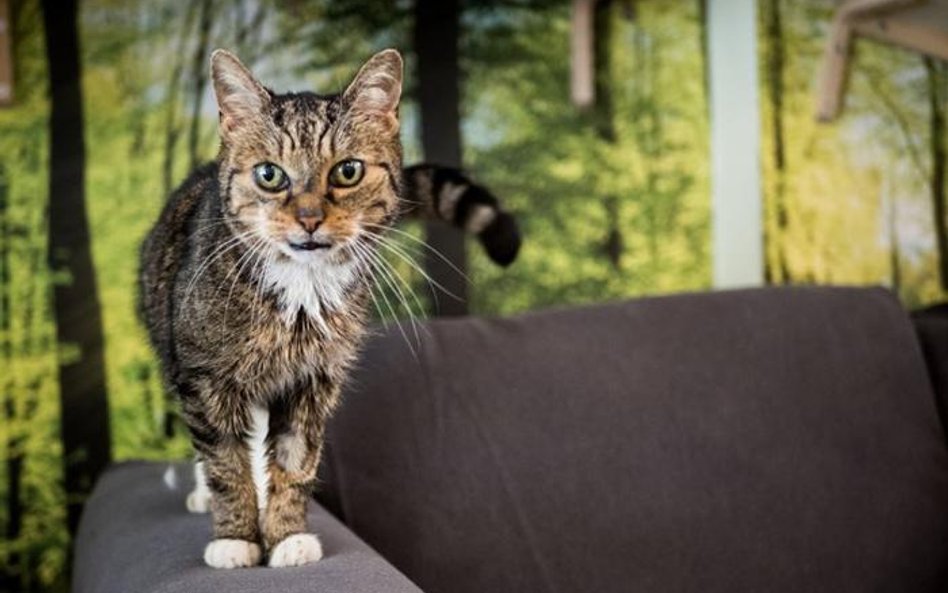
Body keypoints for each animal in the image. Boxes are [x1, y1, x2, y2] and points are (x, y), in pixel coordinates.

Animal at [140, 48, 524, 568]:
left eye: (347, 172)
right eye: (269, 175)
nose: (308, 218)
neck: (301, 293)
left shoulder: (313, 381)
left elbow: (295, 460)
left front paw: (286, 535)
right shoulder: (204, 378)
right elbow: (225, 462)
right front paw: (236, 537)